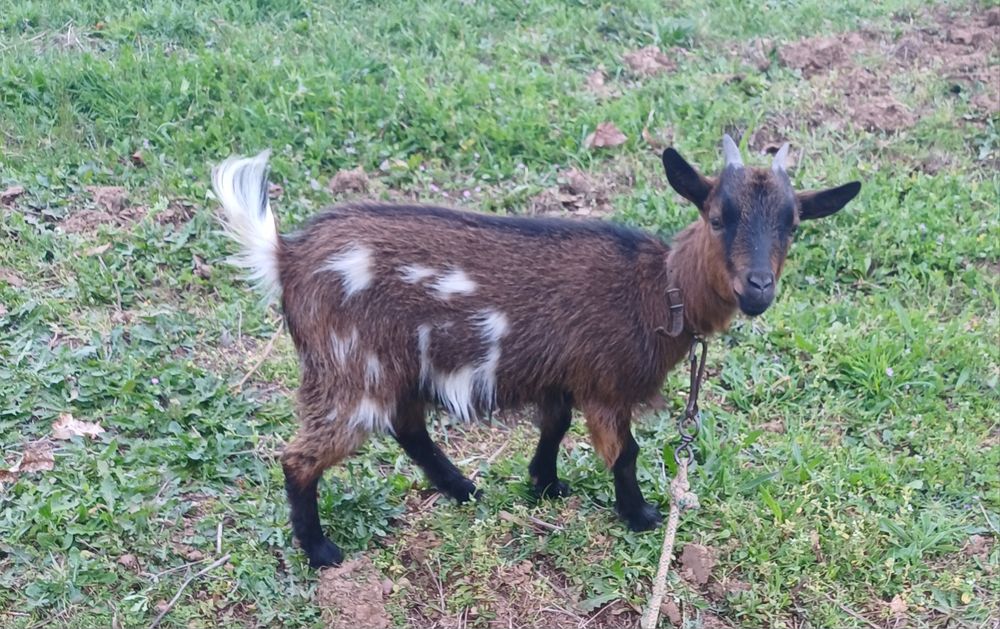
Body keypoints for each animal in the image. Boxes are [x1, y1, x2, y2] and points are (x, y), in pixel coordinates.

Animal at [211, 136, 860, 567]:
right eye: (719, 215)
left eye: (793, 223)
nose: (758, 288)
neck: (658, 290)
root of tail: (287, 257)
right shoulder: (605, 382)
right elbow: (625, 452)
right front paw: (641, 517)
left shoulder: (562, 375)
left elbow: (554, 426)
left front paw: (544, 485)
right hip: (349, 368)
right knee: (301, 457)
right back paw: (322, 550)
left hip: (392, 366)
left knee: (408, 427)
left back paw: (463, 490)